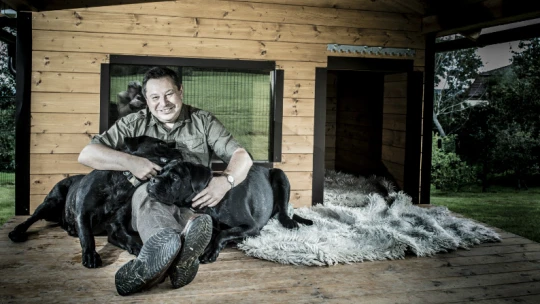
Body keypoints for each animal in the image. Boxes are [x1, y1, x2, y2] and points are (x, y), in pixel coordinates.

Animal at [8, 137, 184, 268]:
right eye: (161, 143)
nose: (178, 147)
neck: (122, 182)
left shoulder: (116, 227)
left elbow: (129, 238)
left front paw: (141, 249)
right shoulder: (83, 214)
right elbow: (87, 236)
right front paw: (90, 255)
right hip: (51, 202)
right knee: (31, 218)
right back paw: (17, 232)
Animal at [147, 160, 312, 262]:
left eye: (174, 177)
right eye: (159, 172)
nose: (152, 180)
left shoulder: (251, 227)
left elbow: (223, 233)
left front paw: (211, 251)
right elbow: (215, 233)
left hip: (280, 175)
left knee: (283, 211)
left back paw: (289, 222)